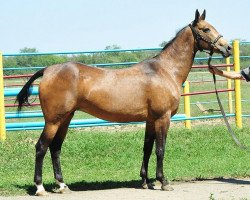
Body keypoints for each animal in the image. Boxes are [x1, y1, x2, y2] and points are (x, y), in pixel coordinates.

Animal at [16, 9, 231, 195]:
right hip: (53, 120)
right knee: (41, 147)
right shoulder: (163, 118)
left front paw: (145, 181)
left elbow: (147, 148)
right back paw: (40, 188)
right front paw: (163, 182)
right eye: (206, 29)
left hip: (65, 119)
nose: (227, 47)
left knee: (55, 148)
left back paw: (62, 185)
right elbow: (160, 149)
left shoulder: (151, 120)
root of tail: (48, 70)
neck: (165, 70)